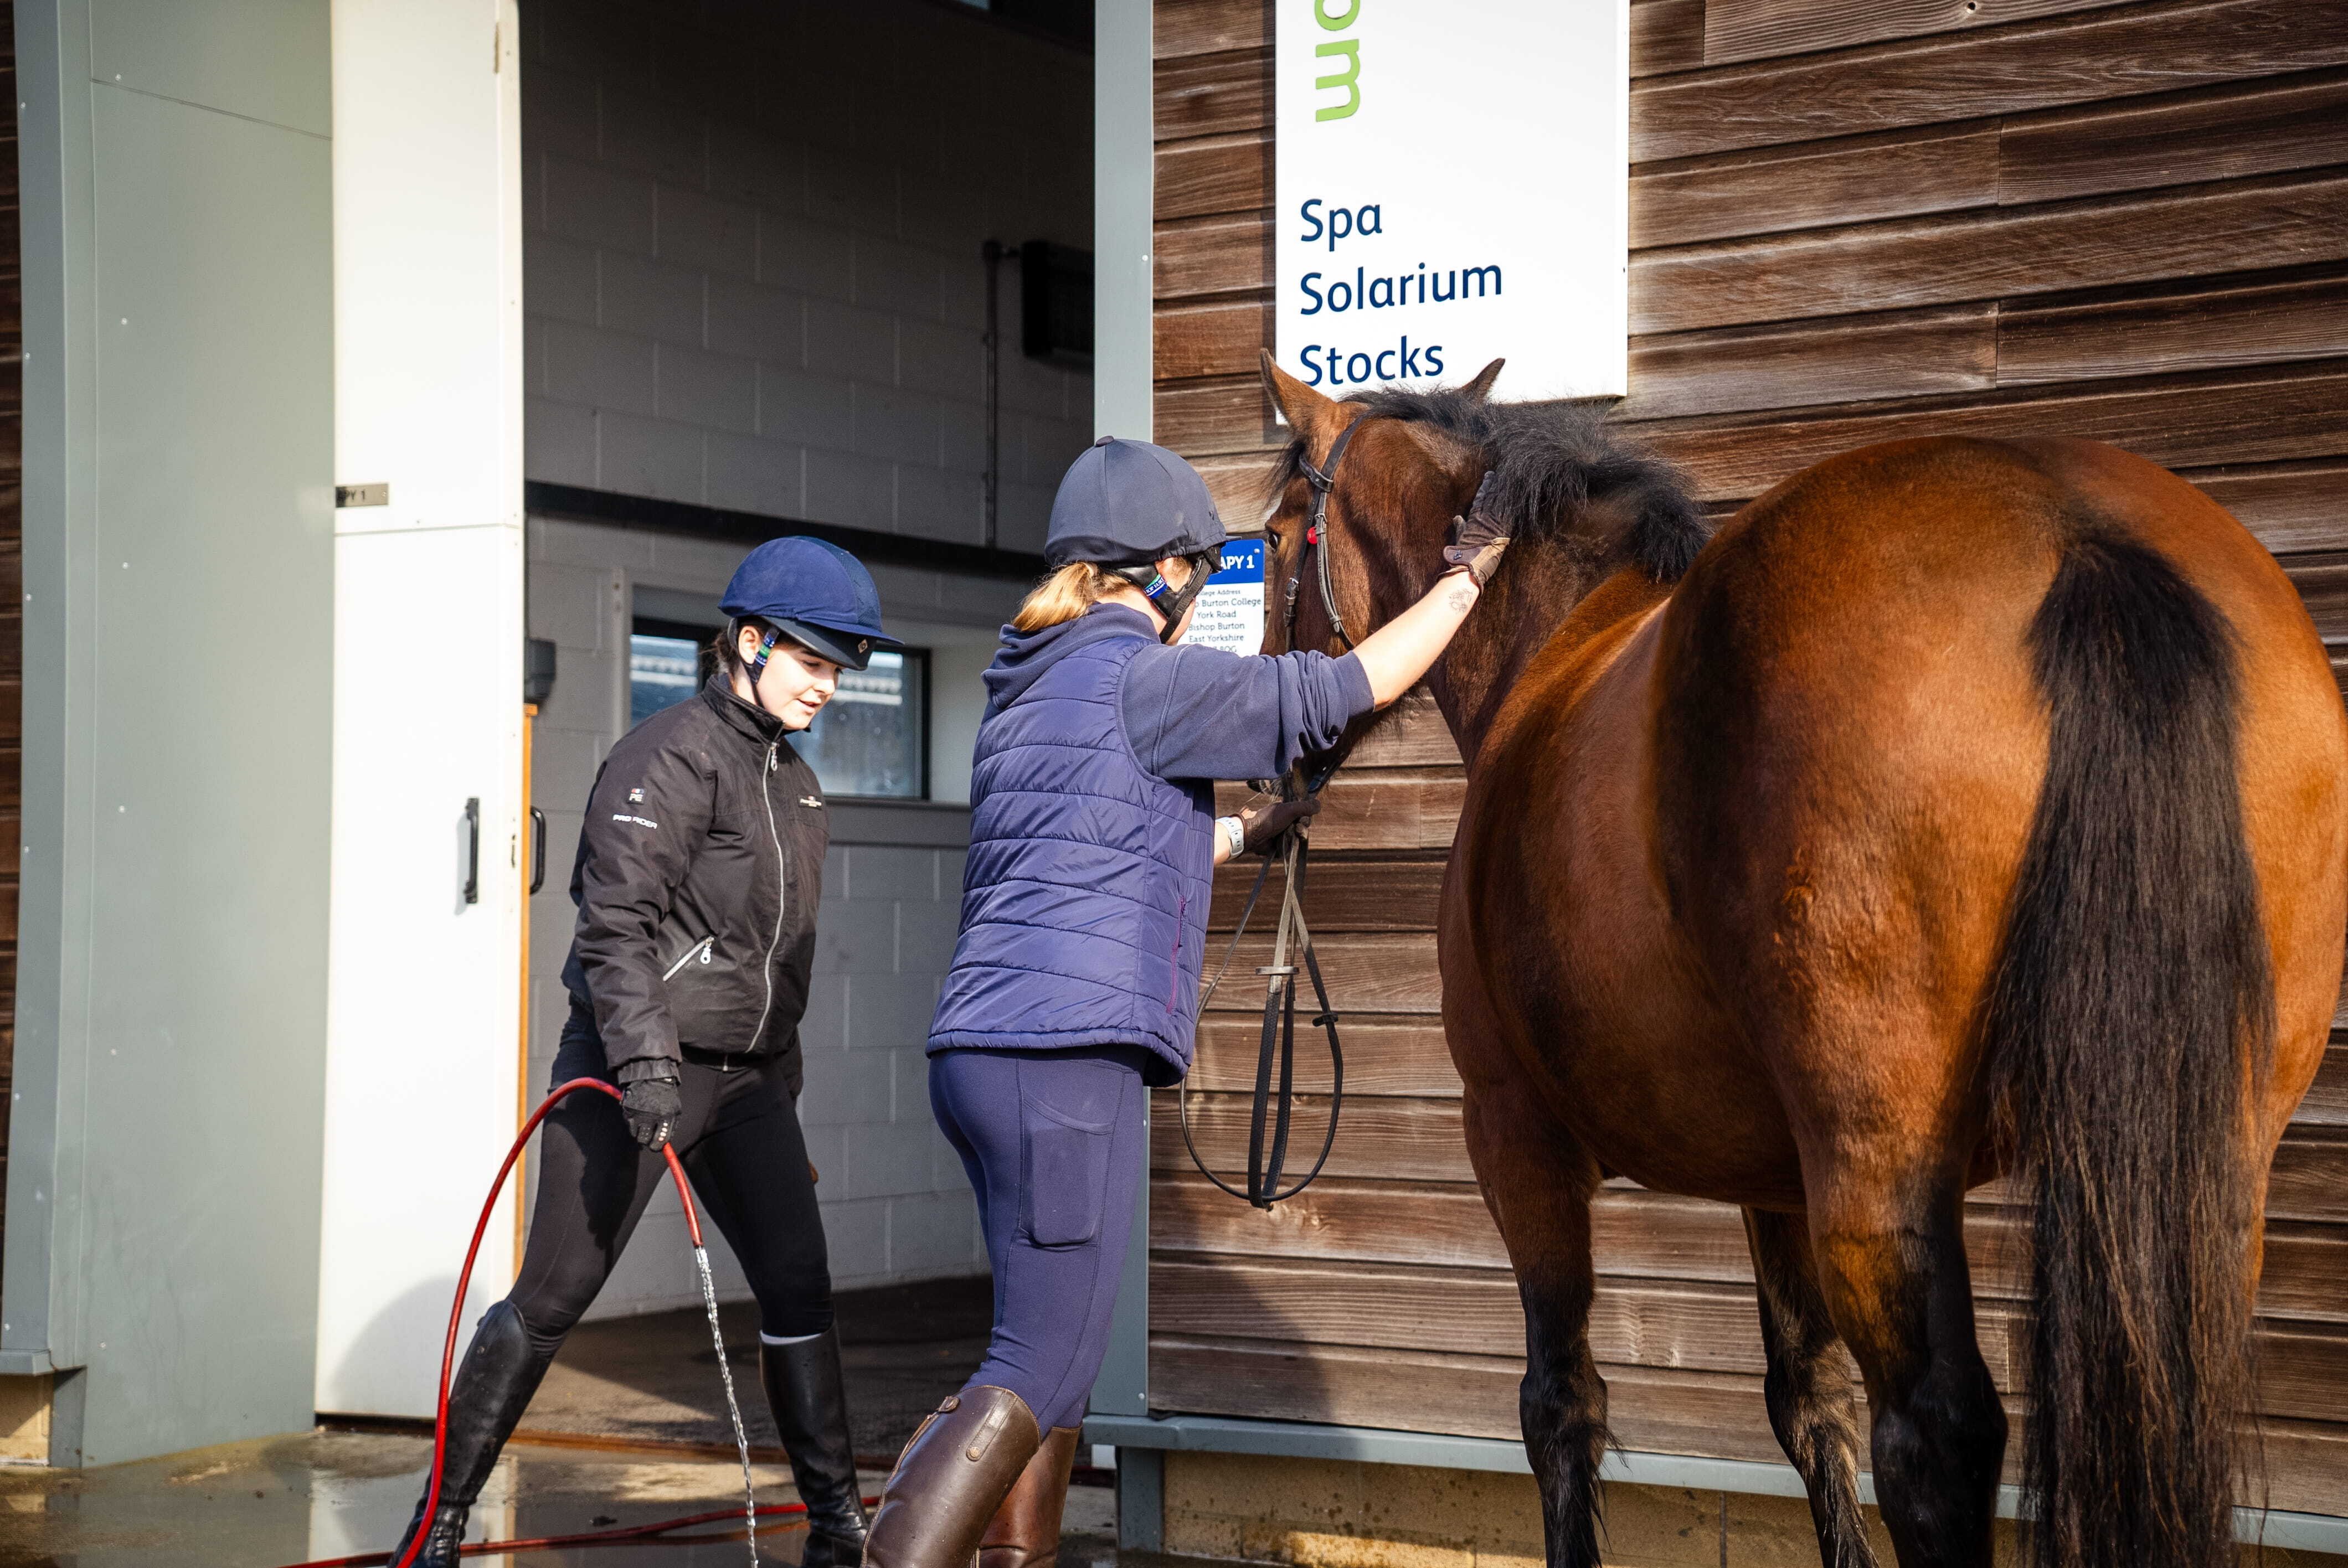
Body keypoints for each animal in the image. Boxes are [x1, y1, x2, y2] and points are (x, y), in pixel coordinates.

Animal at [1252, 351, 2347, 1568]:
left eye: (1278, 532)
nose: (1268, 771)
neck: (1560, 644)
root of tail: (2075, 531)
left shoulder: (1514, 1137)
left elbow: (1560, 1405)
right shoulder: (1770, 1177)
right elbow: (1807, 1403)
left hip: (1875, 1166)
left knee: (1933, 1439)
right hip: (2203, 1167)